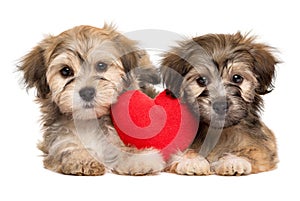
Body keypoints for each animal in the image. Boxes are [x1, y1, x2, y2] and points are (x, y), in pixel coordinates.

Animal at [19, 24, 165, 175]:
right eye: (66, 71)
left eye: (101, 66)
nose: (87, 92)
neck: (89, 121)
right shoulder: (56, 141)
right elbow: (67, 147)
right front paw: (82, 159)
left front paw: (139, 160)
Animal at [162, 32, 278, 175]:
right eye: (201, 80)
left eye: (237, 78)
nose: (221, 106)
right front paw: (192, 160)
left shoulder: (264, 147)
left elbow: (254, 151)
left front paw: (234, 161)